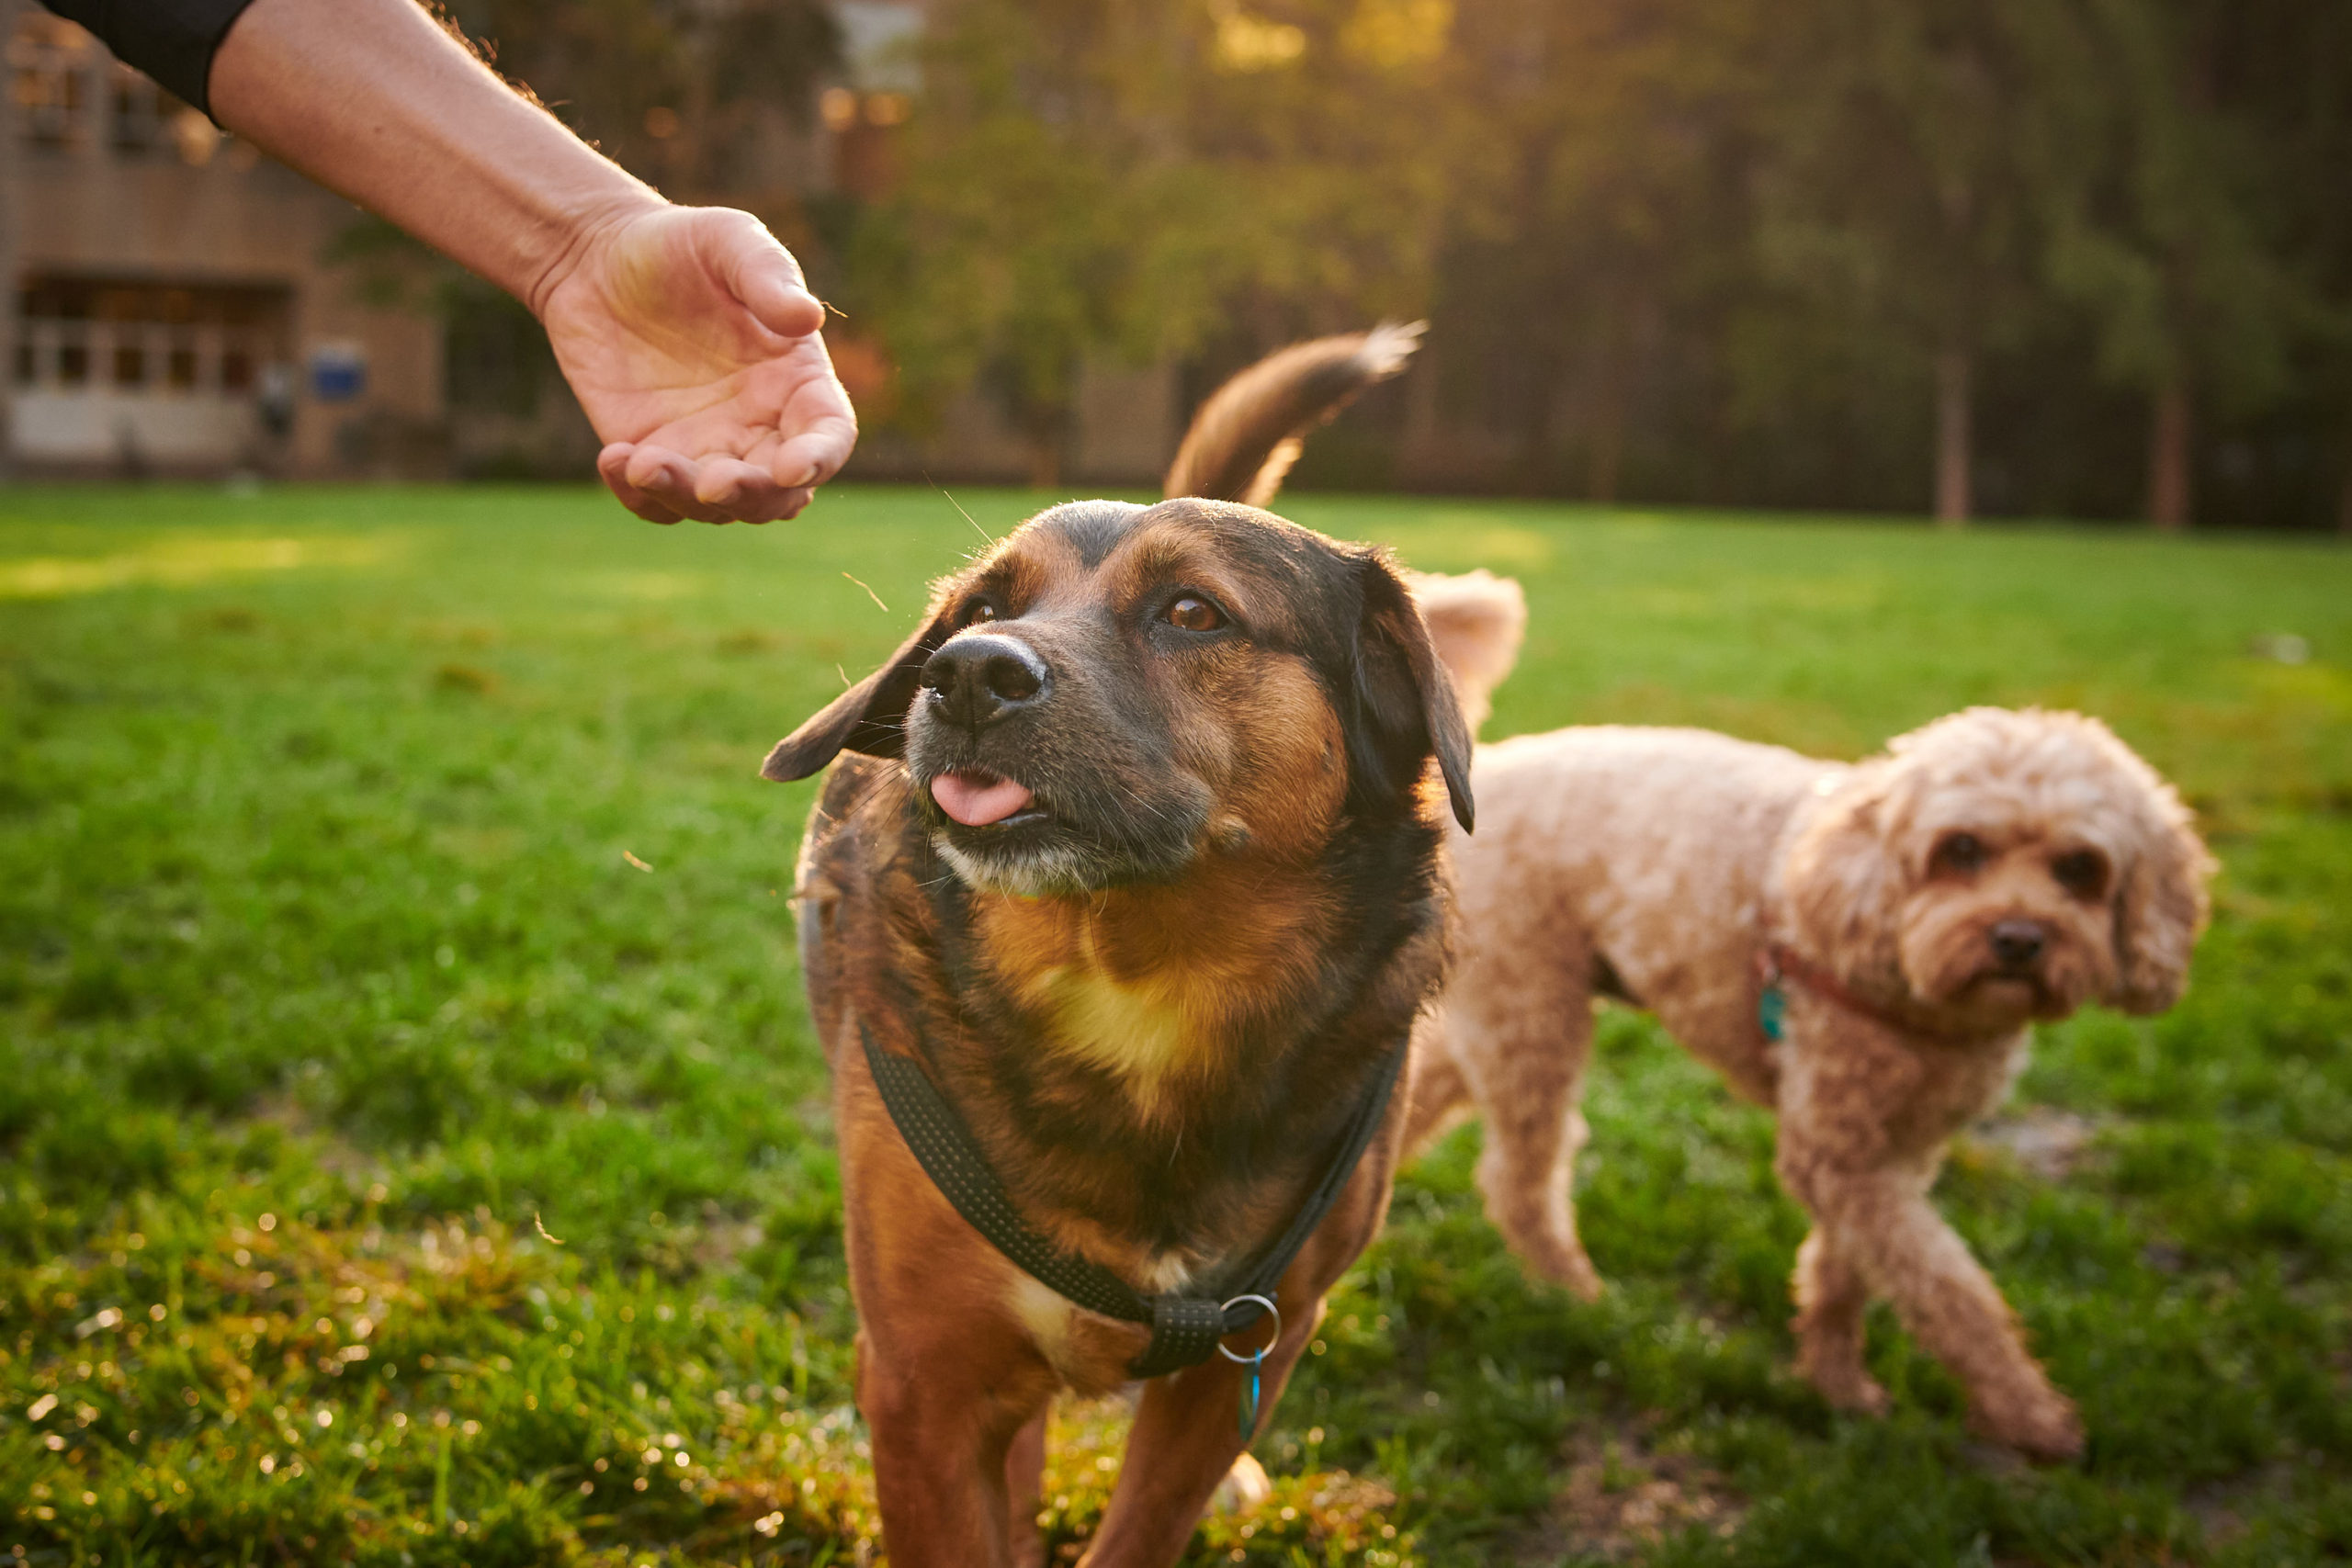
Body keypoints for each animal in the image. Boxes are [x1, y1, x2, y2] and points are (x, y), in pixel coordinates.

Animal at [771, 324, 1467, 1561]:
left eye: (1194, 614)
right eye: (977, 610)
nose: (965, 674)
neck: (1133, 981)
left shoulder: (1243, 1362)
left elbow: (1143, 1525)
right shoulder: (919, 1391)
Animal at [1401, 649, 2211, 1457]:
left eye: (2080, 867)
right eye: (1961, 849)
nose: (2018, 938)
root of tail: (1488, 765)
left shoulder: (1886, 1149)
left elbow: (1846, 1269)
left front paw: (1836, 1382)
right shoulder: (1840, 1149)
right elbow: (1948, 1286)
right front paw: (2026, 1410)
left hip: (1505, 1013)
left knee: (1431, 1092)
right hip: (1533, 1010)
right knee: (1518, 1178)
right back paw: (1574, 1293)